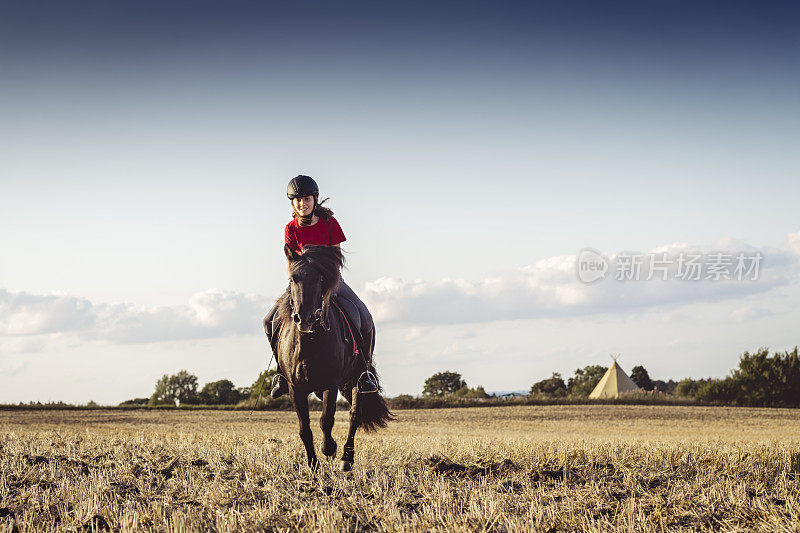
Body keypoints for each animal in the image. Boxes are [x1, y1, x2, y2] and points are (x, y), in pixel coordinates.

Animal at [276, 243, 394, 468]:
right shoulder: (296, 388)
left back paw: (346, 459)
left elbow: (326, 419)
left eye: (321, 279)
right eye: (293, 278)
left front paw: (329, 448)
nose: (305, 318)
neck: (309, 344)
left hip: (357, 379)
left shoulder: (330, 384)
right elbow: (304, 428)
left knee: (354, 415)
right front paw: (313, 464)